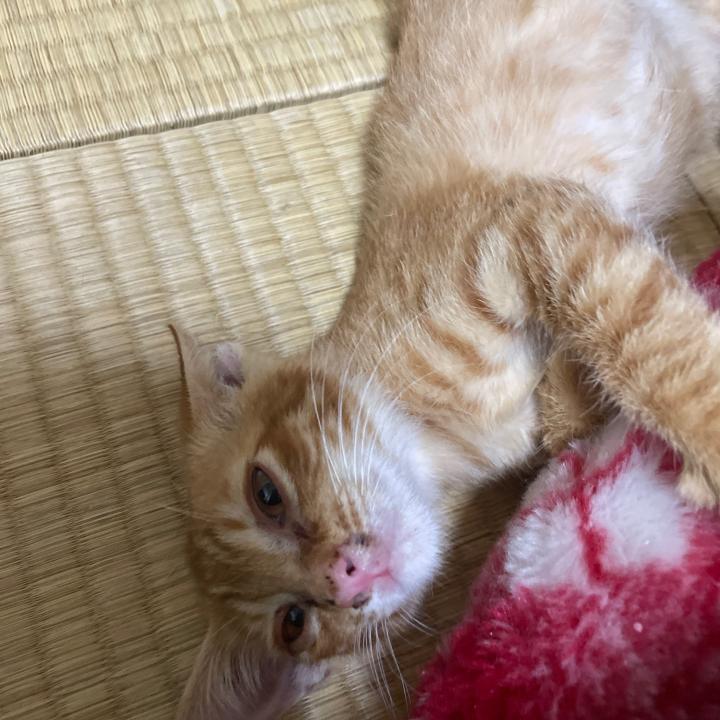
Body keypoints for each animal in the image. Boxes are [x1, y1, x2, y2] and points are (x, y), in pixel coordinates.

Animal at [172, 1, 720, 717]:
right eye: (295, 622)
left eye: (265, 493)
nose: (343, 577)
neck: (450, 436)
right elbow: (578, 410)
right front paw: (575, 407)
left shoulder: (531, 221)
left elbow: (643, 336)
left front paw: (706, 429)